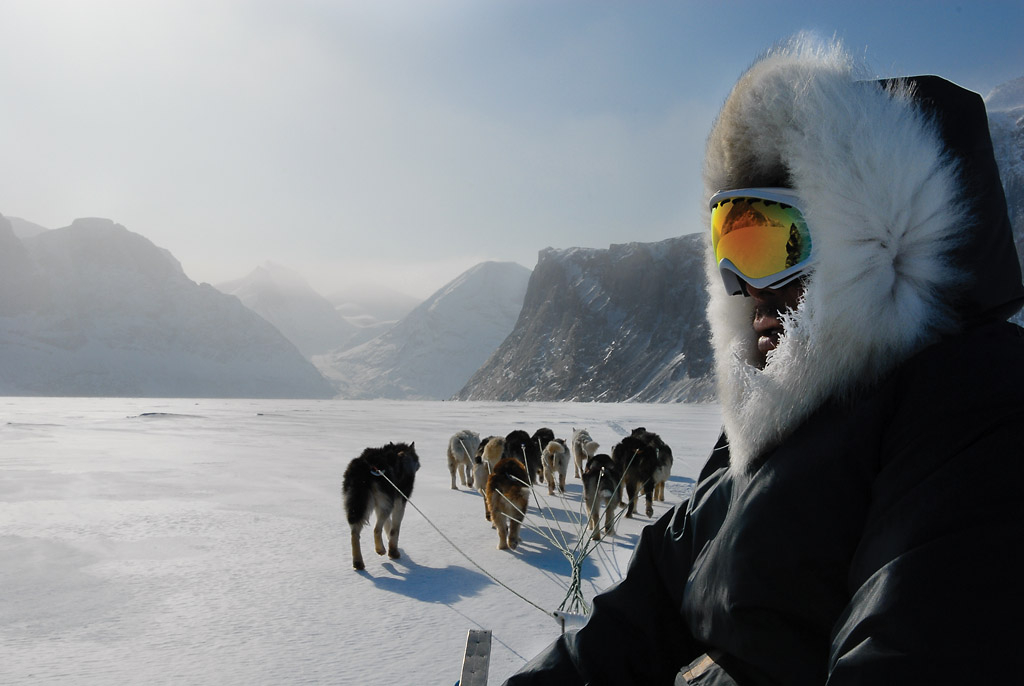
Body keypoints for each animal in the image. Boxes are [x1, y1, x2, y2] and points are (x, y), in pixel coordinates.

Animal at [342, 444, 417, 573]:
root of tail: (366, 465)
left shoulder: (382, 503)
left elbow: (388, 525)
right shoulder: (399, 501)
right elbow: (394, 529)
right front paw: (393, 552)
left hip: (357, 505)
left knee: (355, 533)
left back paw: (358, 562)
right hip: (385, 505)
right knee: (376, 529)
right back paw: (380, 549)